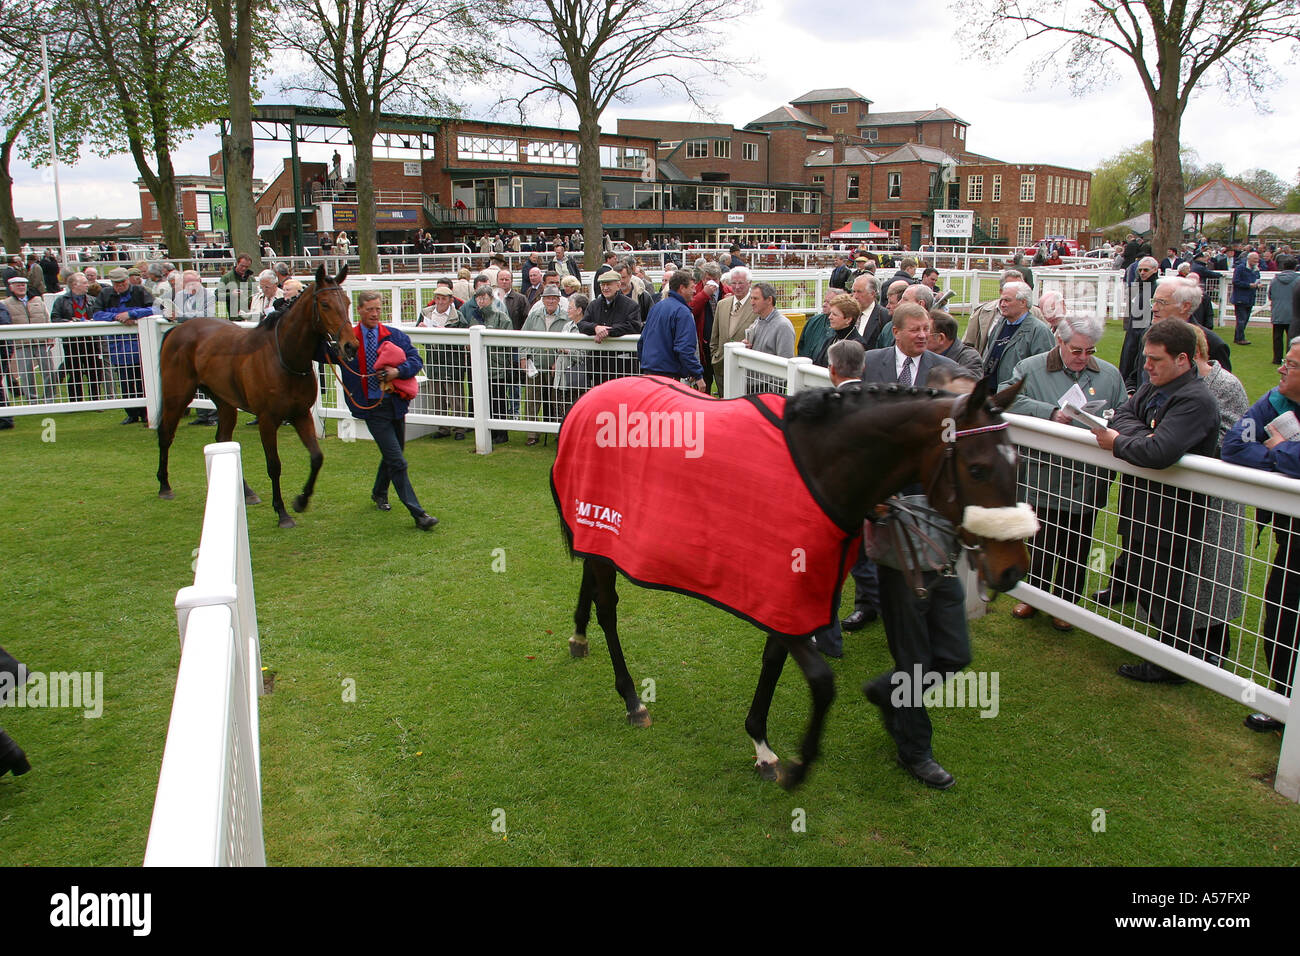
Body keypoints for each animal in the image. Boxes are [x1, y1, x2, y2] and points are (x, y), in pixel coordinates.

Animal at [155, 265, 358, 528]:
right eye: (324, 304)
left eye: (347, 302)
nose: (350, 346)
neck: (284, 357)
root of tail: (177, 329)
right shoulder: (267, 420)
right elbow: (274, 465)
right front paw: (282, 513)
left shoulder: (301, 414)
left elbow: (316, 457)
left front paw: (301, 500)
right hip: (177, 395)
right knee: (165, 434)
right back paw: (164, 485)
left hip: (224, 401)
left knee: (222, 439)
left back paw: (247, 492)